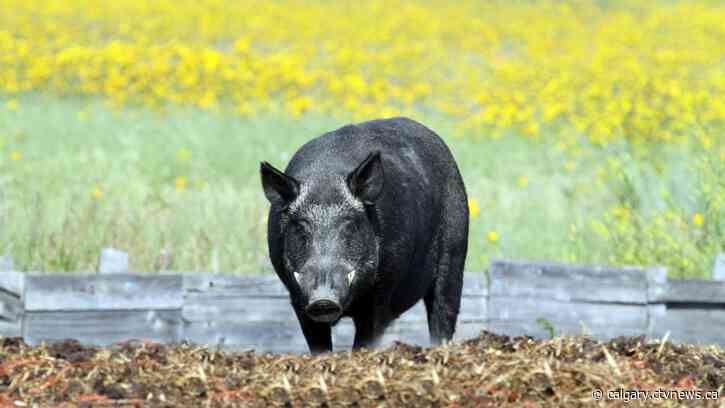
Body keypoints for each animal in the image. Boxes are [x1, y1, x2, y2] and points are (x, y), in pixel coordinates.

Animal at [260, 117, 469, 354]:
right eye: (302, 227)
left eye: (349, 225)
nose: (323, 300)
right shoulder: (296, 296)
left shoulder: (382, 292)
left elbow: (366, 339)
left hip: (455, 250)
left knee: (443, 311)